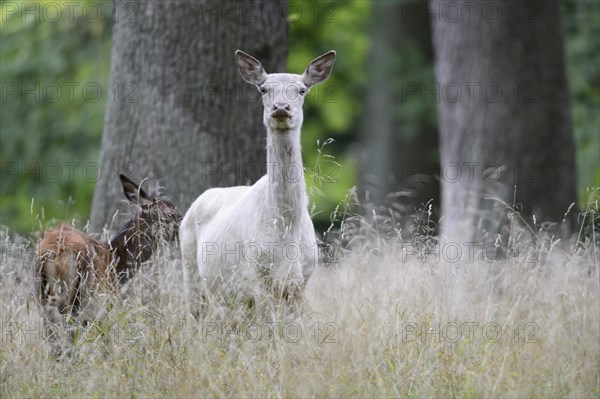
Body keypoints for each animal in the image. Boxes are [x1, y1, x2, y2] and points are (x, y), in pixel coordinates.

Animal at [34, 175, 180, 354]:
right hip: (86, 295)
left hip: (44, 295)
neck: (115, 263)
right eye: (170, 215)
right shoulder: (106, 302)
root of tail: (57, 251)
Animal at [180, 49, 336, 312]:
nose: (281, 107)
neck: (285, 232)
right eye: (263, 89)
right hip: (191, 270)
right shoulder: (256, 280)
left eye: (302, 90)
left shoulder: (302, 282)